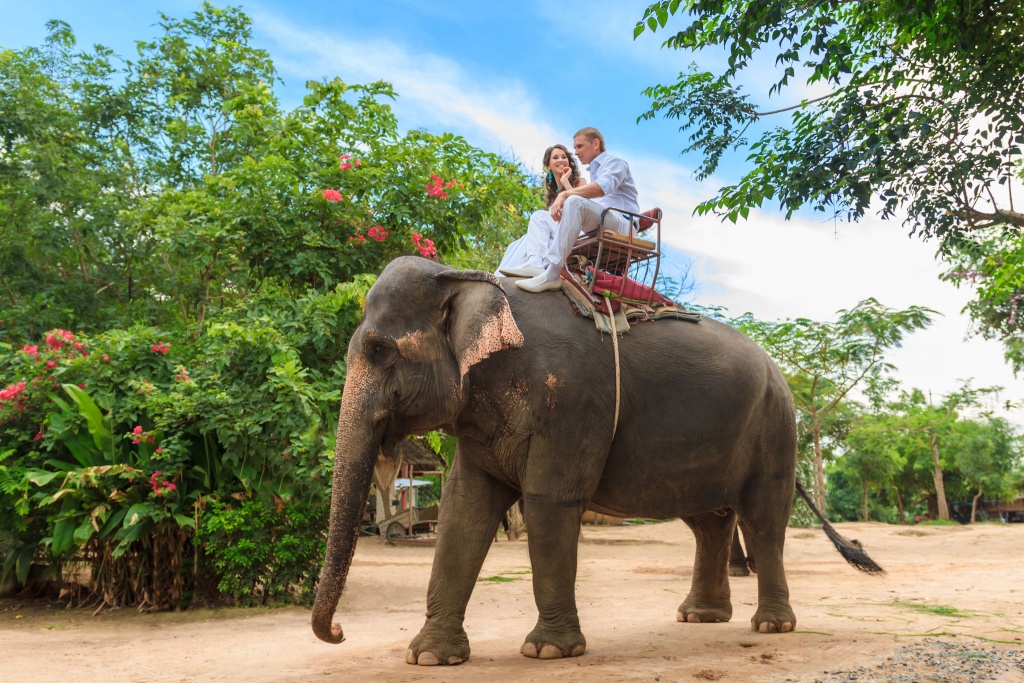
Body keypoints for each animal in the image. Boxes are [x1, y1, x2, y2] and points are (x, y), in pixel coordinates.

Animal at [311, 254, 880, 663]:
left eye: (382, 351)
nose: (337, 631)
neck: (473, 283)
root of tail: (779, 371)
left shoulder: (572, 402)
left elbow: (549, 501)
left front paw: (548, 651)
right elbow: (462, 510)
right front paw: (430, 658)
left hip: (776, 426)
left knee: (762, 518)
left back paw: (771, 626)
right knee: (710, 520)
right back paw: (700, 618)